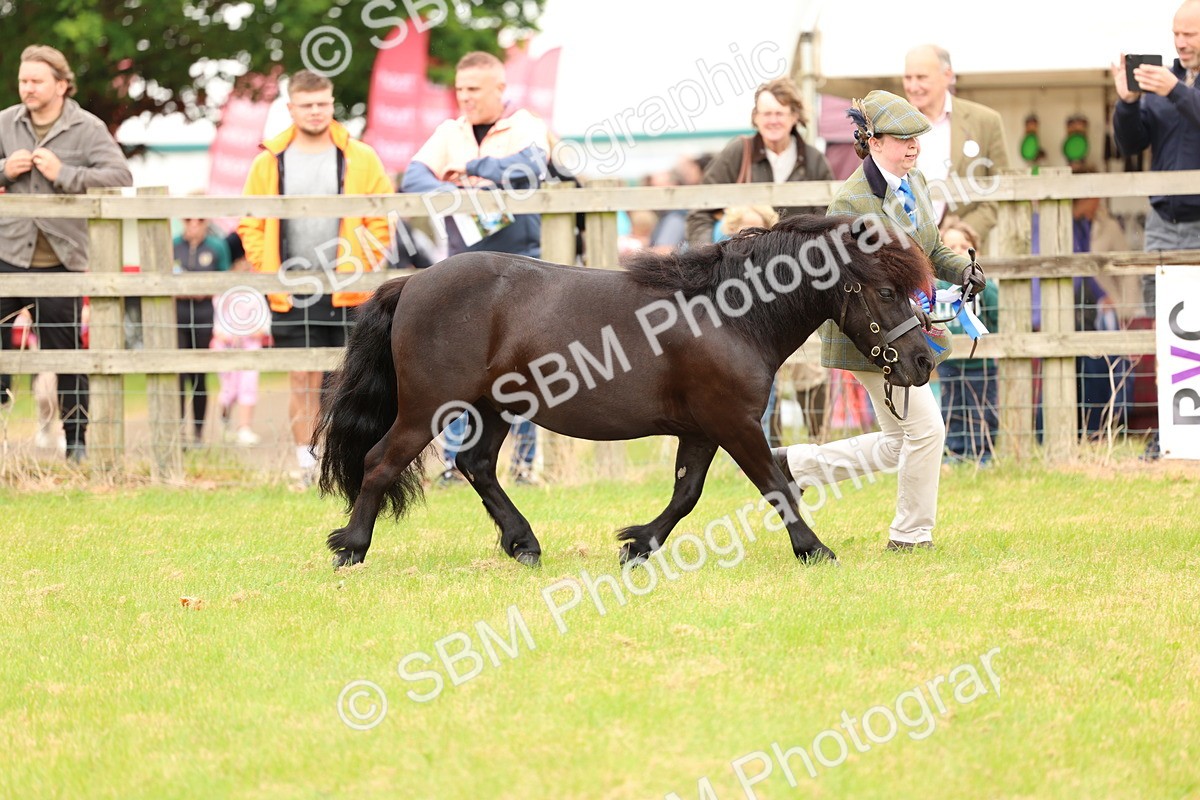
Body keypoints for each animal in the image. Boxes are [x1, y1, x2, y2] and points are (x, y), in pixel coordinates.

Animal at [314, 214, 937, 569]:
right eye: (886, 290)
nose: (924, 361)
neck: (731, 316)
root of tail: (413, 281)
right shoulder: (734, 423)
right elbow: (776, 486)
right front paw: (814, 550)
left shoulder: (702, 430)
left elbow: (686, 495)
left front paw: (637, 544)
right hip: (428, 408)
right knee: (380, 461)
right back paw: (352, 547)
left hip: (495, 408)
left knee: (478, 465)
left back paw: (524, 543)